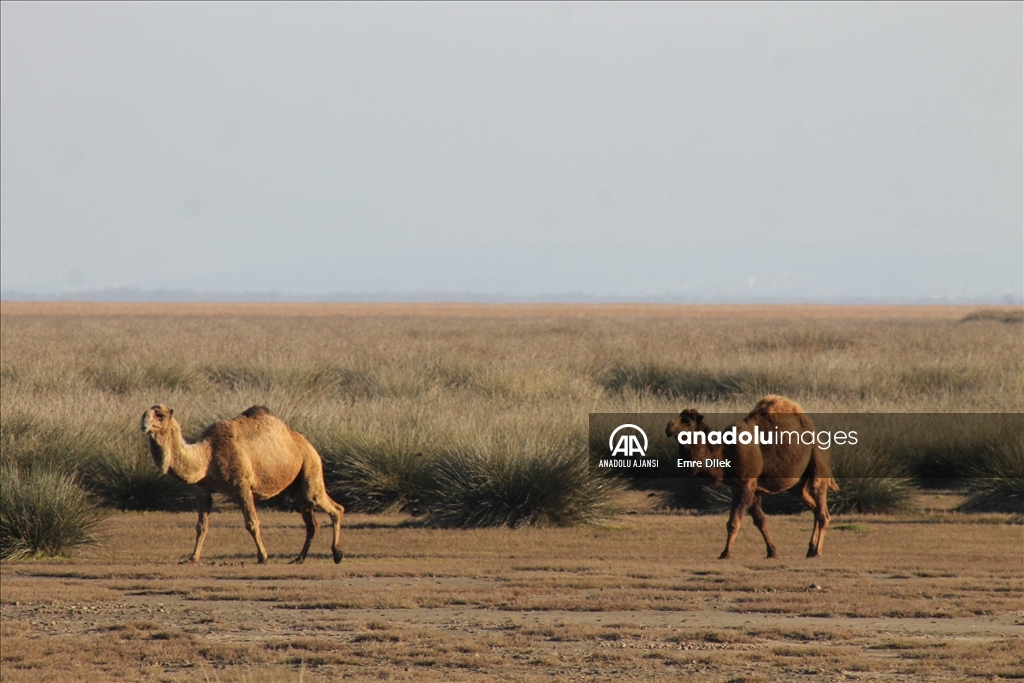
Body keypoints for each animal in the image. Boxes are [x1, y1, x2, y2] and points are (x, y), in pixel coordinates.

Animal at [138, 405, 346, 565]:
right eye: (143, 413)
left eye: (160, 415)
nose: (144, 424)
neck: (207, 456)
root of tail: (305, 442)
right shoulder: (203, 489)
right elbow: (201, 526)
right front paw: (192, 558)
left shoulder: (242, 487)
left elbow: (252, 523)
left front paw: (263, 557)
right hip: (296, 486)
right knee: (312, 523)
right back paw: (299, 558)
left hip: (311, 468)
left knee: (333, 507)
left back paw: (337, 554)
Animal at [663, 395, 839, 561]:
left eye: (687, 421)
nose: (668, 427)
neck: (723, 453)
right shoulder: (748, 488)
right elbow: (761, 521)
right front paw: (772, 552)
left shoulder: (745, 484)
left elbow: (733, 523)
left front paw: (725, 553)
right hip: (797, 486)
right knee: (813, 507)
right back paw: (810, 549)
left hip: (818, 465)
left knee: (822, 511)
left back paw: (817, 552)